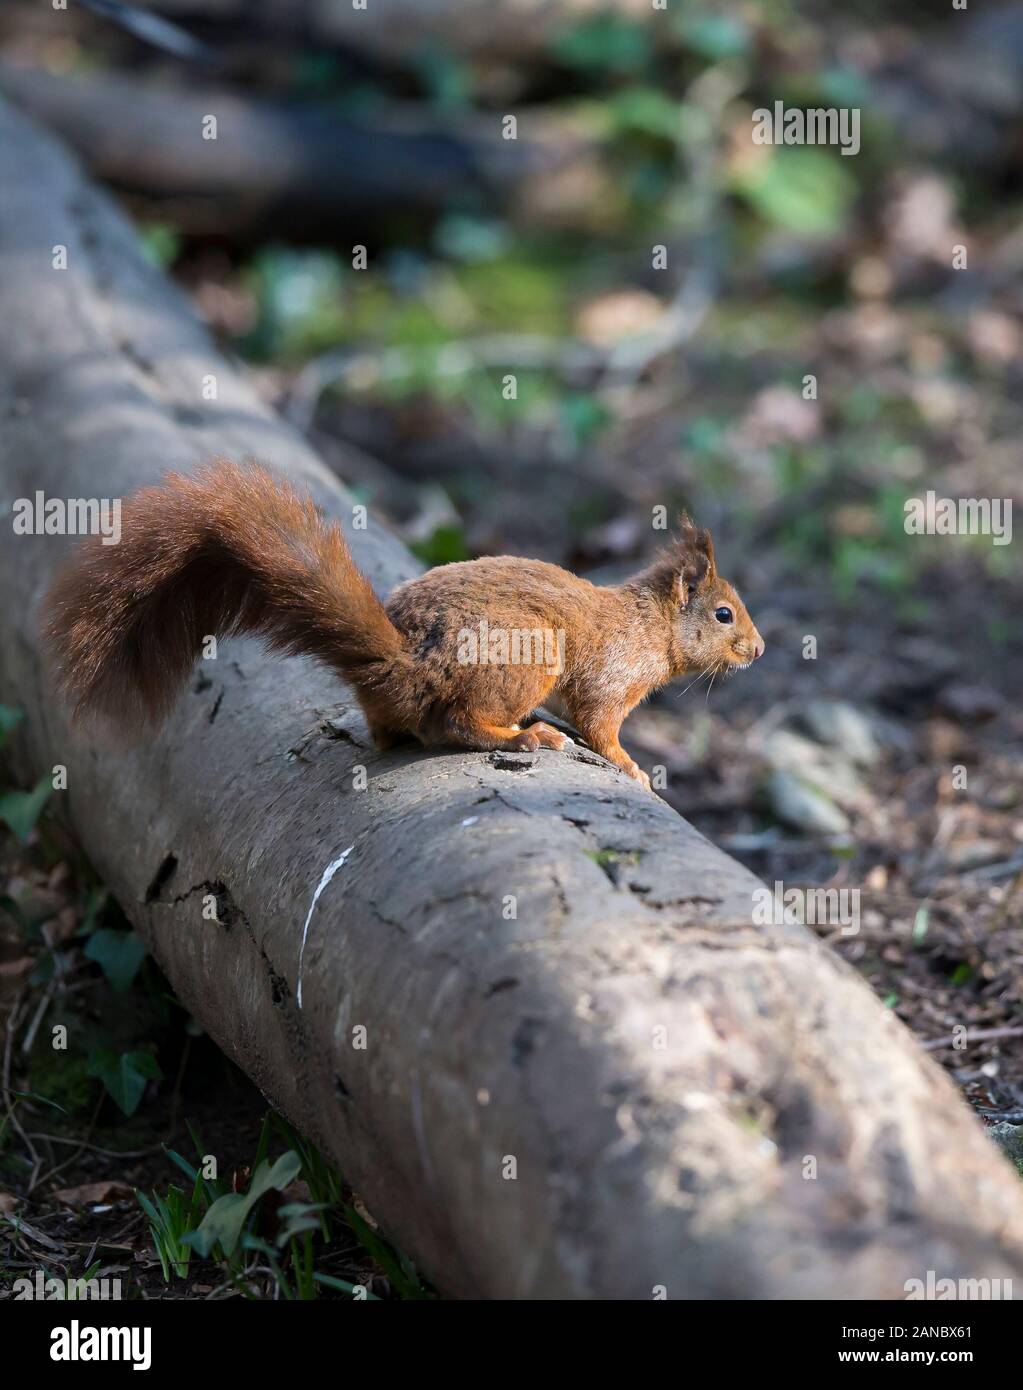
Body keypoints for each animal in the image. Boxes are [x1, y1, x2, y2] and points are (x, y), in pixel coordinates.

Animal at [44, 460, 764, 792]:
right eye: (723, 613)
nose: (757, 649)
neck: (650, 626)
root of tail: (405, 663)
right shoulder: (608, 681)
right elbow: (601, 725)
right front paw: (634, 770)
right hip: (526, 657)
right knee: (454, 724)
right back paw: (527, 736)